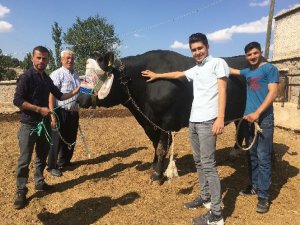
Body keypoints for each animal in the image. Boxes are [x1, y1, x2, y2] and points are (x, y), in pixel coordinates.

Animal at [77, 50, 248, 184]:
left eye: (96, 75)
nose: (79, 99)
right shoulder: (150, 123)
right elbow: (155, 145)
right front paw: (154, 167)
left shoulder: (167, 122)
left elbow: (161, 148)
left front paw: (157, 176)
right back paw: (236, 152)